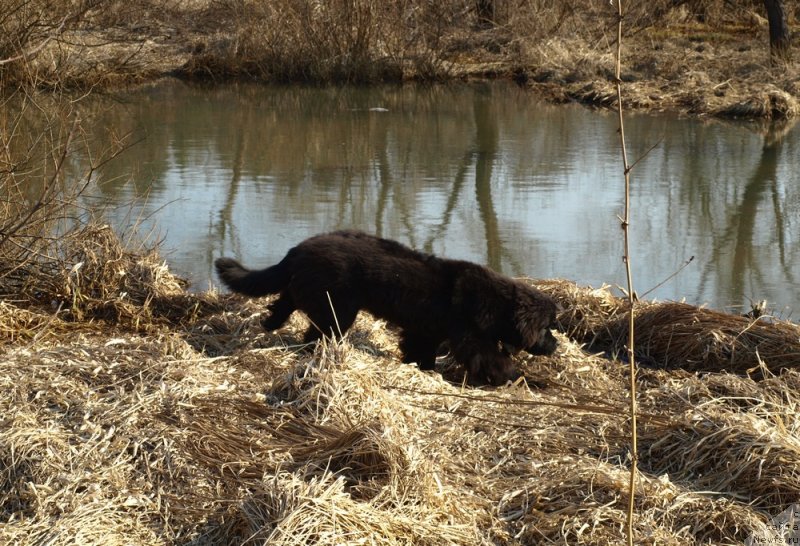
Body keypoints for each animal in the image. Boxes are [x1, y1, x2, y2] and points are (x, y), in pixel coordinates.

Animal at [216, 228, 560, 382]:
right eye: (547, 327)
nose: (555, 345)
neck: (498, 304)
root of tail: (298, 247)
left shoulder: (426, 330)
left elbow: (420, 350)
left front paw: (421, 368)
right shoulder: (471, 338)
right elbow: (492, 359)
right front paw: (518, 377)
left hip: (312, 292)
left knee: (284, 300)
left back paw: (271, 324)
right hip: (337, 307)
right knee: (316, 327)